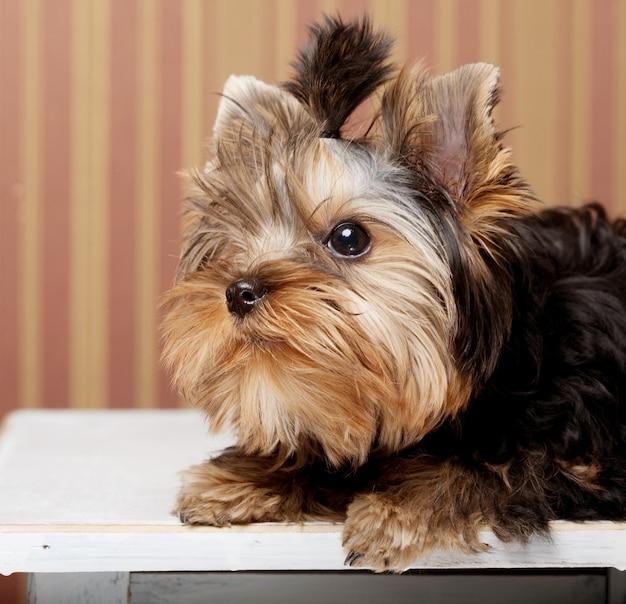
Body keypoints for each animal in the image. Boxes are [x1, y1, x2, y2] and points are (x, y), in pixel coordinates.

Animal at [161, 15, 624, 572]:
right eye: (237, 241)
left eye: (349, 238)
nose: (238, 291)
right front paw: (245, 477)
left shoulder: (588, 460)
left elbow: (500, 467)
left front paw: (397, 510)